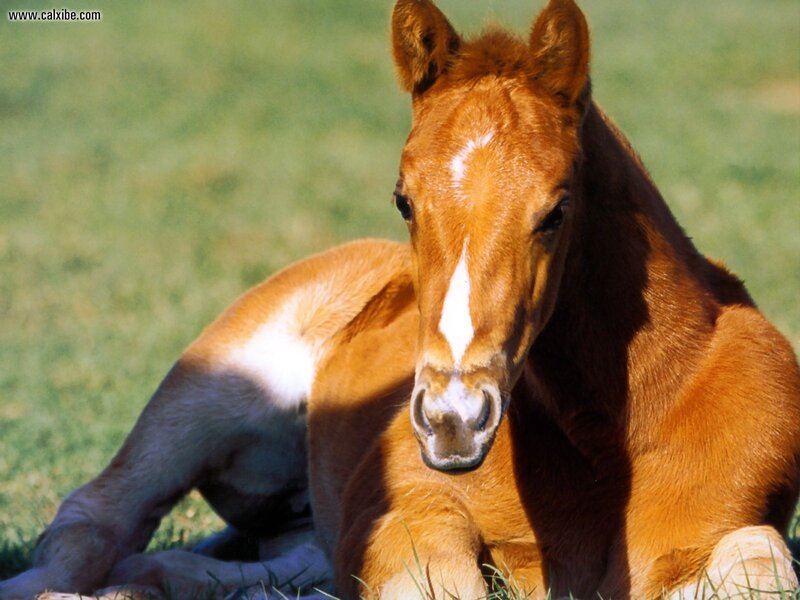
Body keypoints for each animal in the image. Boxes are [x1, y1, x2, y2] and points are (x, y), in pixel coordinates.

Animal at [2, 0, 799, 598]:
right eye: (403, 199)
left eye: (557, 209)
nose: (453, 422)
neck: (610, 437)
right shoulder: (406, 510)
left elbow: (762, 567)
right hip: (205, 393)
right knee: (94, 517)